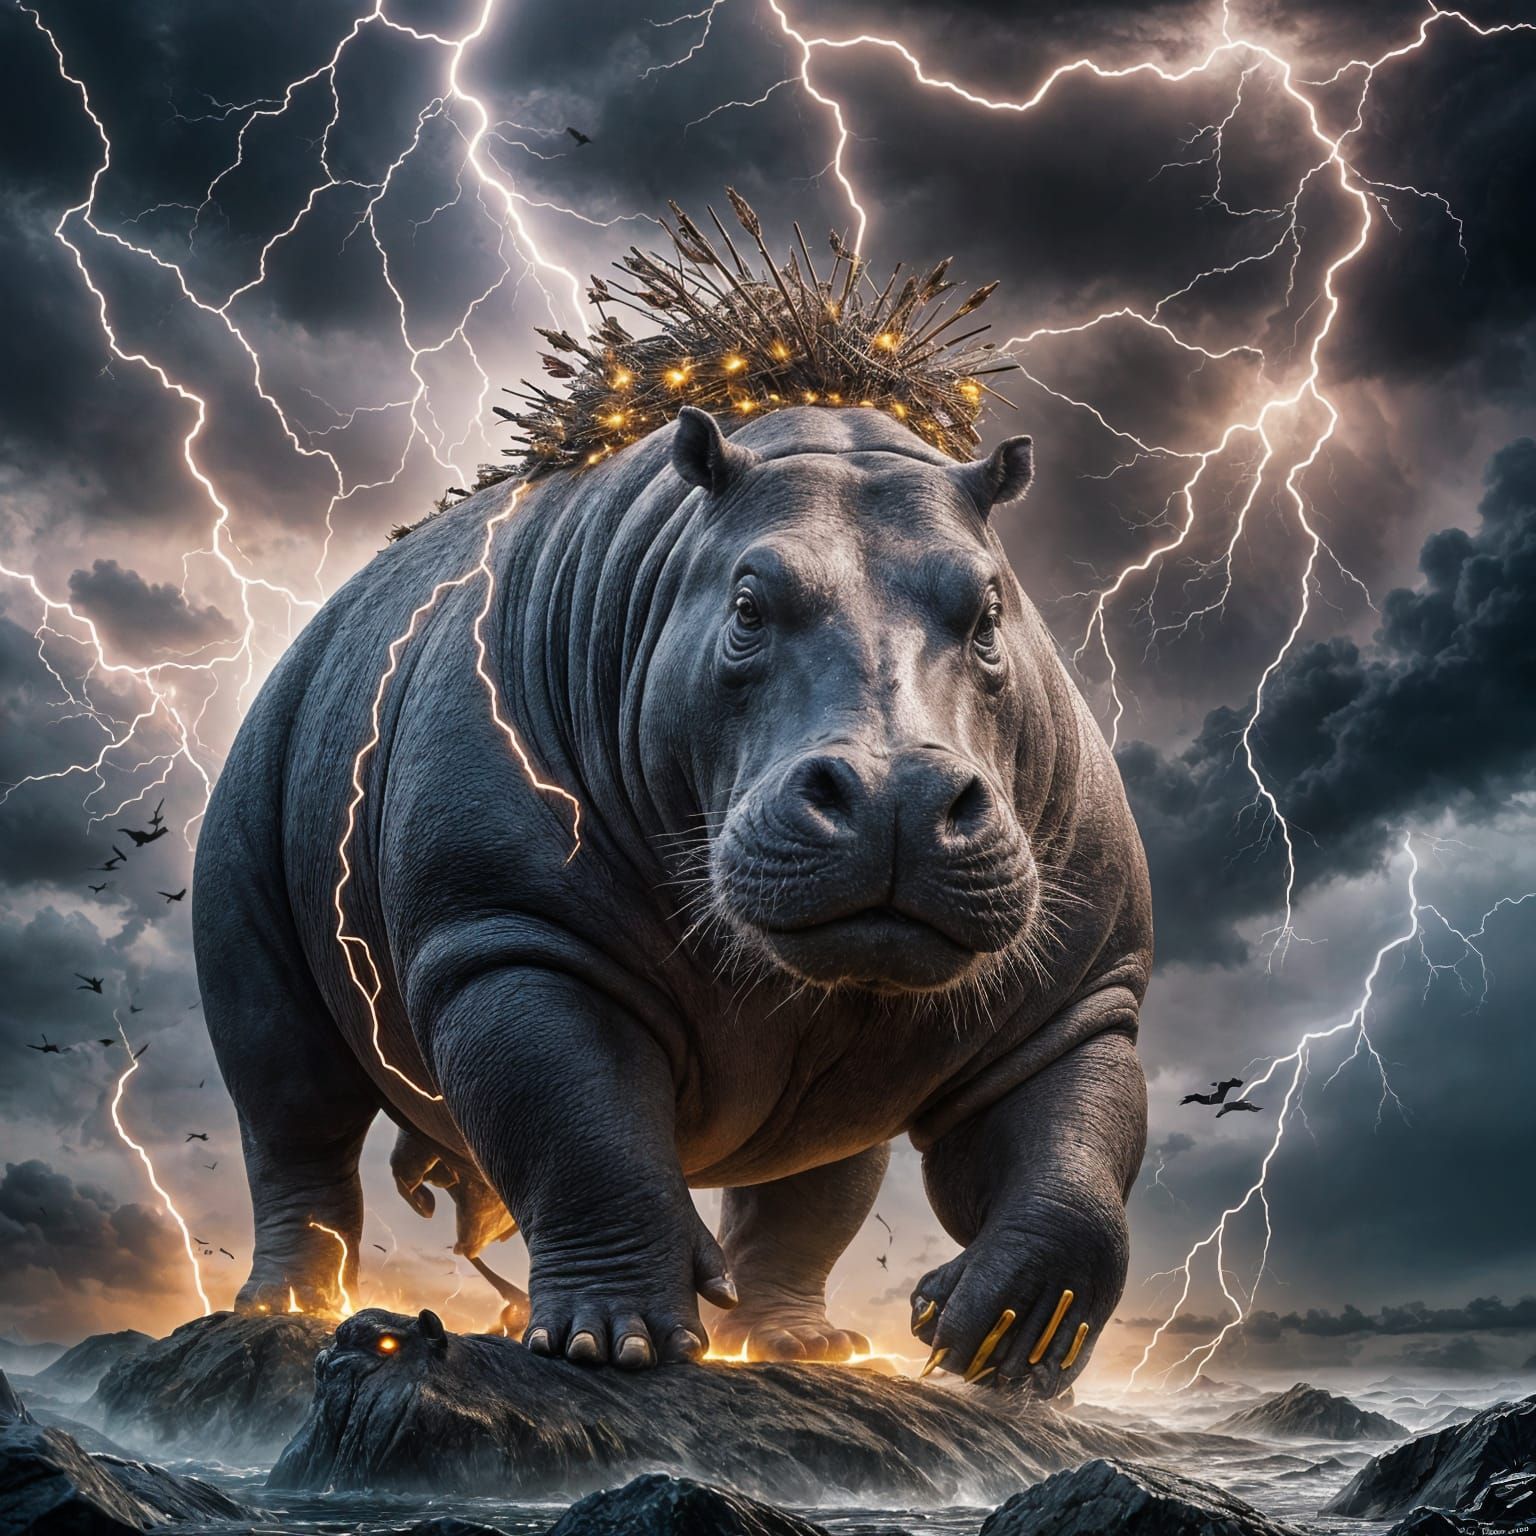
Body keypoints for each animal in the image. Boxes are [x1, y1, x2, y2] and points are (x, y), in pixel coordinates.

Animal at [193, 404, 1152, 1395]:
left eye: (991, 616)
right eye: (746, 610)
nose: (900, 798)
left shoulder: (1081, 994)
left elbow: (1073, 1158)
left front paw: (999, 1347)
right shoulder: (507, 933)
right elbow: (580, 1131)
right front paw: (610, 1349)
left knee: (820, 1171)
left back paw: (803, 1349)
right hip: (261, 786)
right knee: (289, 1096)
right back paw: (281, 1312)